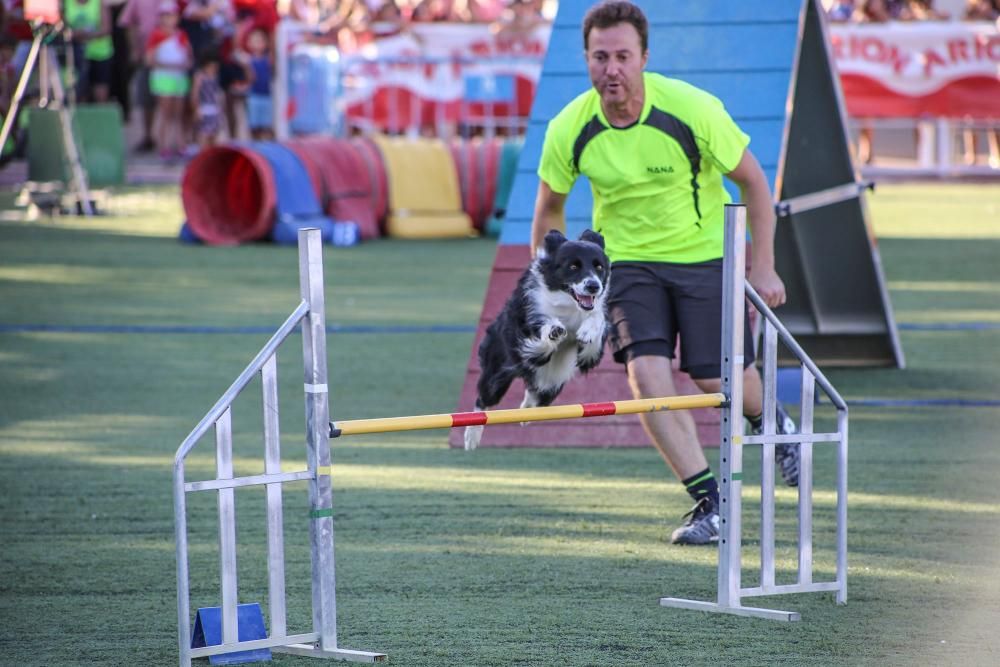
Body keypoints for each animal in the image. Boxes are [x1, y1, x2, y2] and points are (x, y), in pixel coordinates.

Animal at [464, 227, 612, 452]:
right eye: (573, 266)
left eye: (599, 267)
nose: (594, 286)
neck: (568, 305)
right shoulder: (525, 322)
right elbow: (539, 339)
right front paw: (553, 331)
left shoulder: (590, 353)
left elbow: (596, 323)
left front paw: (588, 331)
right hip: (497, 374)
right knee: (483, 400)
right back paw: (471, 437)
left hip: (554, 385)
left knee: (537, 394)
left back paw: (526, 413)